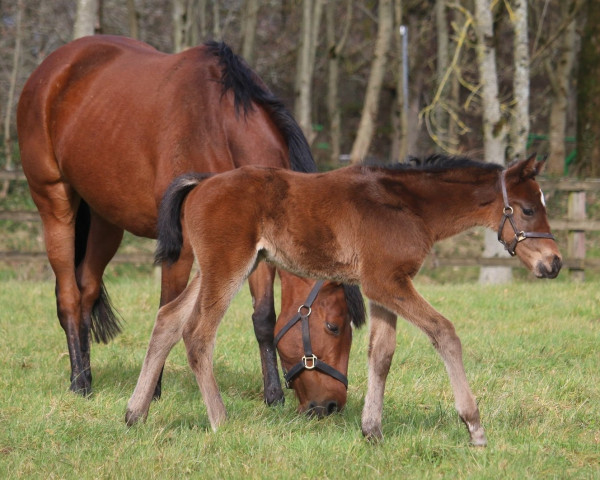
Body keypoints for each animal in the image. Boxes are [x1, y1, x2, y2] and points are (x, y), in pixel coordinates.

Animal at [17, 34, 366, 416]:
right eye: (333, 326)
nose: (330, 406)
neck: (219, 127)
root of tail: (53, 67)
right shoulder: (180, 247)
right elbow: (167, 312)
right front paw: (152, 392)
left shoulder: (254, 243)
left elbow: (263, 317)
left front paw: (273, 396)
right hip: (54, 204)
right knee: (68, 295)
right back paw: (80, 383)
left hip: (105, 220)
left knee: (86, 291)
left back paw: (86, 376)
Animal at [126, 155, 564, 446]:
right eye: (527, 209)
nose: (554, 263)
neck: (409, 207)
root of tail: (202, 183)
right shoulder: (386, 282)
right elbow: (444, 332)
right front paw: (474, 426)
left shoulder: (384, 286)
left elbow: (381, 354)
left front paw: (372, 430)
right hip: (228, 266)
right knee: (198, 333)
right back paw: (219, 420)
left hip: (214, 268)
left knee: (167, 319)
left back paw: (135, 413)